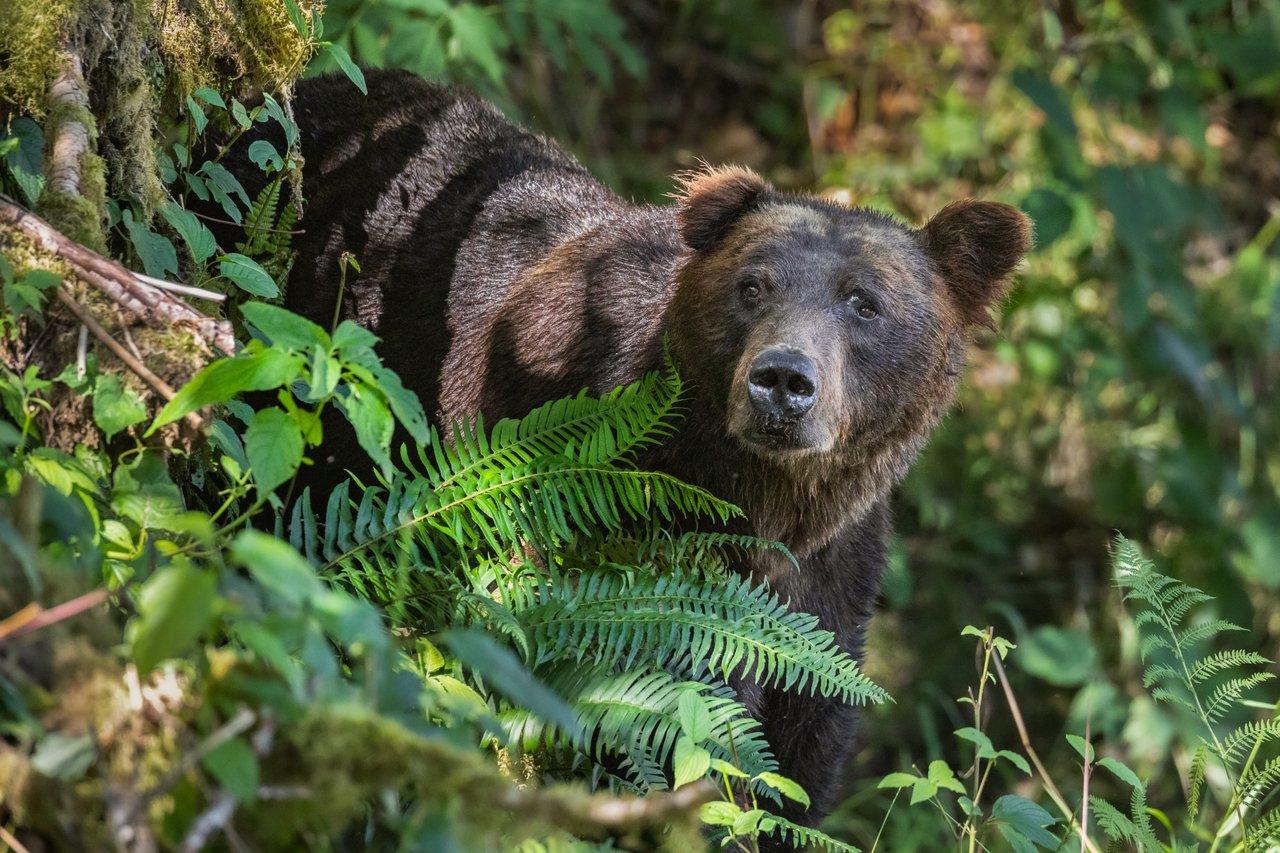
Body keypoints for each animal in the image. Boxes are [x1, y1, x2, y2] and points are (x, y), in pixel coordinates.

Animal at [212, 69, 1029, 824]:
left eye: (865, 303)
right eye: (753, 286)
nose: (782, 381)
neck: (762, 497)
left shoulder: (832, 580)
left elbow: (803, 748)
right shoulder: (611, 521)